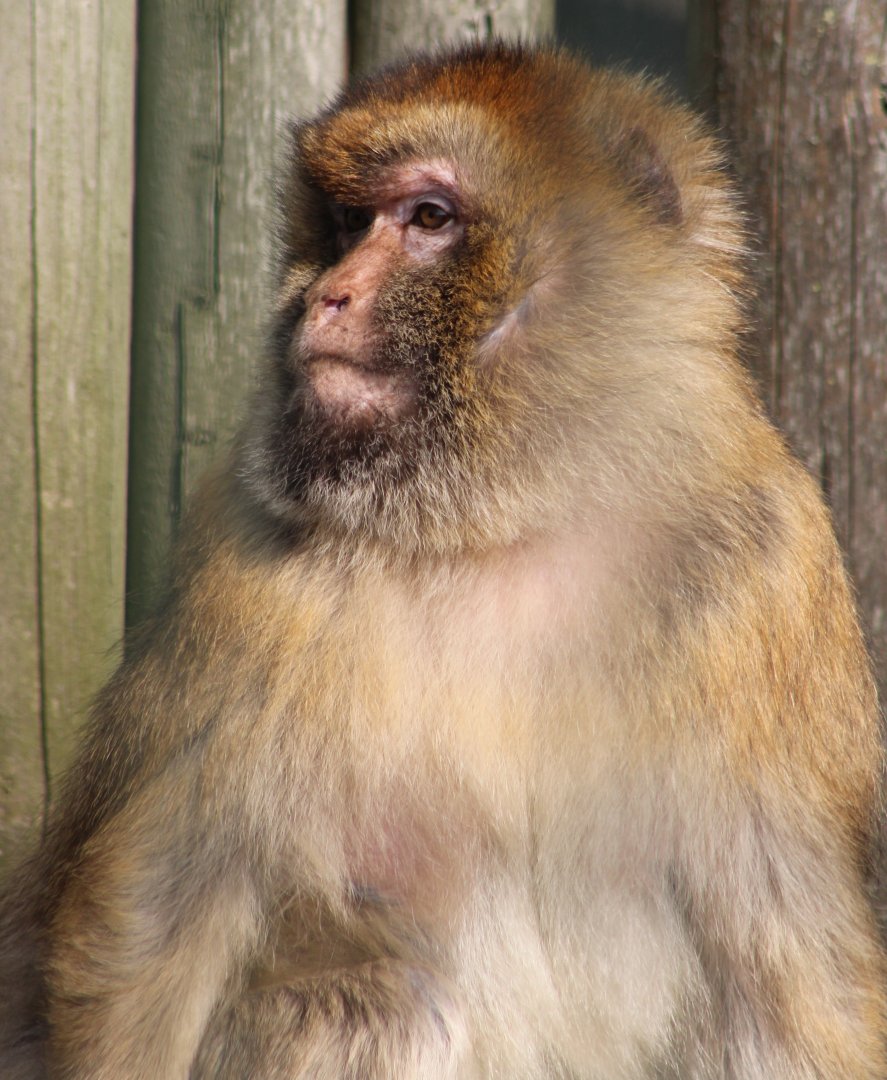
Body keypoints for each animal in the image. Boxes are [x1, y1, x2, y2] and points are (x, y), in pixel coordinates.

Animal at [0, 40, 884, 1079]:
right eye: (348, 222)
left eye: (429, 218)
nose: (325, 296)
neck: (506, 520)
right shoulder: (244, 564)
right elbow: (158, 912)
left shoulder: (767, 564)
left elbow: (792, 961)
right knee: (382, 1006)